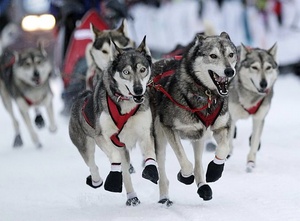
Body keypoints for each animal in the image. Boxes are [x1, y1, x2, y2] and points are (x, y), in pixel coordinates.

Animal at [69, 36, 159, 205]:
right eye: (126, 72)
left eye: (142, 69)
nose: (138, 89)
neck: (126, 105)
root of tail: (82, 97)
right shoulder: (105, 136)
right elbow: (115, 156)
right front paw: (113, 177)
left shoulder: (145, 132)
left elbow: (150, 153)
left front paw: (151, 169)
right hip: (85, 145)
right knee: (93, 164)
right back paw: (97, 180)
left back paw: (132, 196)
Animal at [151, 32, 238, 205]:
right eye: (213, 56)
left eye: (231, 54)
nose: (229, 71)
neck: (207, 95)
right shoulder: (168, 127)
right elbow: (185, 162)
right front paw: (184, 176)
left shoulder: (221, 127)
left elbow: (224, 148)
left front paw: (215, 171)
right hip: (160, 137)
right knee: (162, 169)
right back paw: (164, 197)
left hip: (199, 136)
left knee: (198, 164)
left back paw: (203, 186)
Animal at [227, 42, 278, 171]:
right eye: (254, 67)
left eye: (268, 68)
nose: (264, 84)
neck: (251, 97)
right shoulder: (231, 117)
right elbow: (228, 140)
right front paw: (227, 153)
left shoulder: (259, 118)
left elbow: (254, 141)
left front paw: (250, 162)